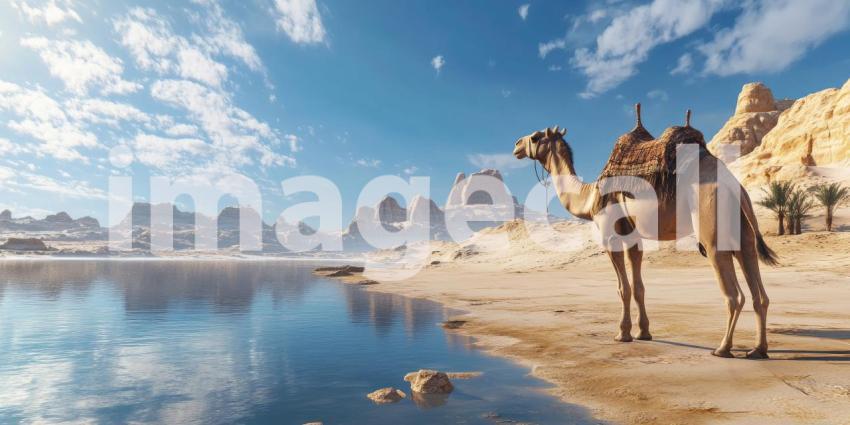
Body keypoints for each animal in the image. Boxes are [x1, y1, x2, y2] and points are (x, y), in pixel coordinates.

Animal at [511, 106, 777, 359]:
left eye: (535, 137)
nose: (516, 145)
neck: (590, 196)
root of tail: (736, 188)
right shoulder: (633, 236)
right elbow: (638, 287)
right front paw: (643, 332)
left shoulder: (610, 235)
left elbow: (623, 288)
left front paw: (622, 334)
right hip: (743, 230)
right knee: (759, 292)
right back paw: (758, 349)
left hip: (711, 226)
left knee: (734, 295)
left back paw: (722, 348)